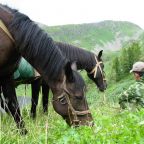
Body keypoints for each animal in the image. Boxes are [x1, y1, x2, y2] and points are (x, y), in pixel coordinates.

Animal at [0, 4, 93, 135]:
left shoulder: (7, 75)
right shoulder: (37, 81)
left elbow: (14, 105)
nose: (90, 124)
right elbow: (35, 101)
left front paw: (24, 133)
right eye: (78, 97)